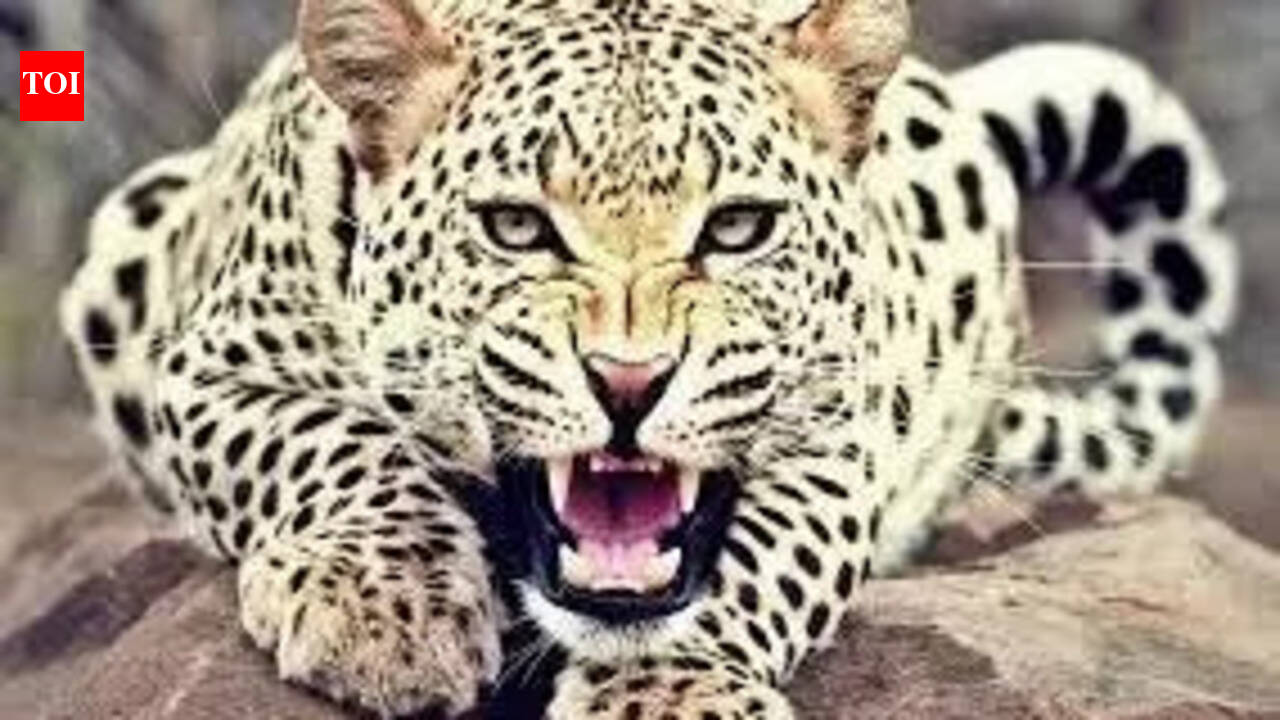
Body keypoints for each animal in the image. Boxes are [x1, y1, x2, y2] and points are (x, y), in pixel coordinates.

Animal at [59, 0, 1237, 717]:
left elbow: (760, 557)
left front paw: (671, 696)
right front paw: (383, 607)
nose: (629, 381)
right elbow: (335, 444)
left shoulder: (839, 433)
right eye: (517, 228)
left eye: (738, 228)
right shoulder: (207, 365)